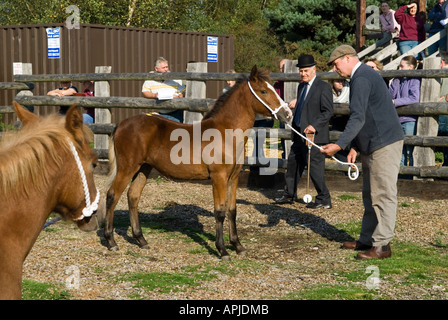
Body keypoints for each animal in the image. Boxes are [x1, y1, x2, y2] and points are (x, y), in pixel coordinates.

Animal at [101, 65, 290, 260]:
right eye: (263, 91)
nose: (287, 114)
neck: (225, 133)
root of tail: (121, 124)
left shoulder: (233, 177)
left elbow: (232, 210)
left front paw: (238, 245)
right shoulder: (219, 177)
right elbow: (220, 211)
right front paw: (222, 250)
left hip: (144, 168)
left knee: (133, 196)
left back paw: (141, 240)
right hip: (127, 168)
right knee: (112, 195)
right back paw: (111, 241)